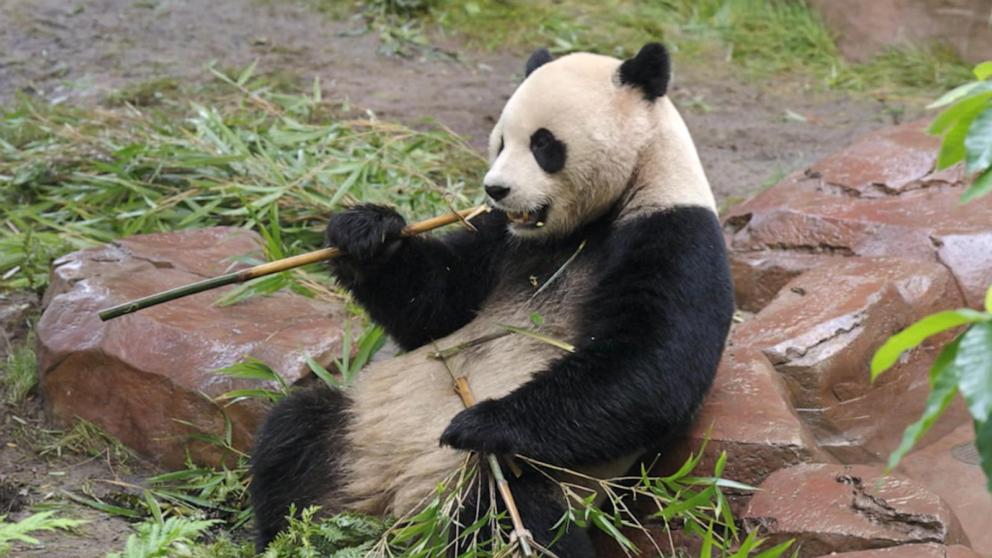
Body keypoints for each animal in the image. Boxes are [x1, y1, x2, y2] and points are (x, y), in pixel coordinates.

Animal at [250, 41, 736, 556]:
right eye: (501, 141)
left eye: (543, 144)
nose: (495, 188)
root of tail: (397, 507)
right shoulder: (499, 236)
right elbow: (436, 306)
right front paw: (366, 233)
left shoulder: (674, 233)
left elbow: (652, 363)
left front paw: (479, 422)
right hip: (356, 424)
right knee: (292, 436)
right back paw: (290, 533)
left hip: (497, 480)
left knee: (508, 518)